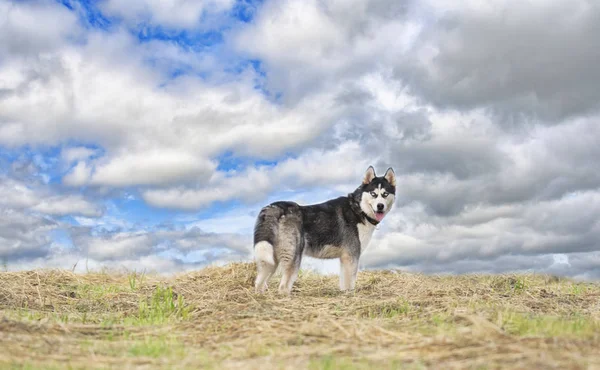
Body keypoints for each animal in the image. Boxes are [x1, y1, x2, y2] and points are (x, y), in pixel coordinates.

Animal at [252, 166, 396, 294]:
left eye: (385, 194)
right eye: (373, 194)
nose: (380, 206)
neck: (358, 208)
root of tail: (275, 206)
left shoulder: (344, 258)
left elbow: (343, 282)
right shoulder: (351, 256)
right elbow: (350, 282)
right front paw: (350, 295)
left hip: (270, 258)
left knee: (259, 282)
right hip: (292, 257)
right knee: (283, 287)